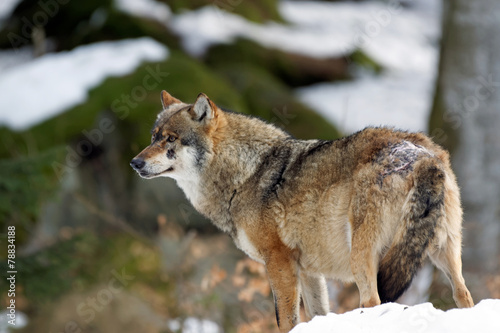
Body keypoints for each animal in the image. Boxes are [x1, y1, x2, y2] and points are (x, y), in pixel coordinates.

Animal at [129, 90, 472, 330]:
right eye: (153, 137)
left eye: (171, 140)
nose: (135, 163)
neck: (245, 174)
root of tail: (426, 156)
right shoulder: (308, 270)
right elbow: (318, 314)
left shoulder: (278, 261)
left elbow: (286, 320)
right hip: (445, 254)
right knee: (464, 295)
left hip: (363, 258)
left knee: (374, 301)